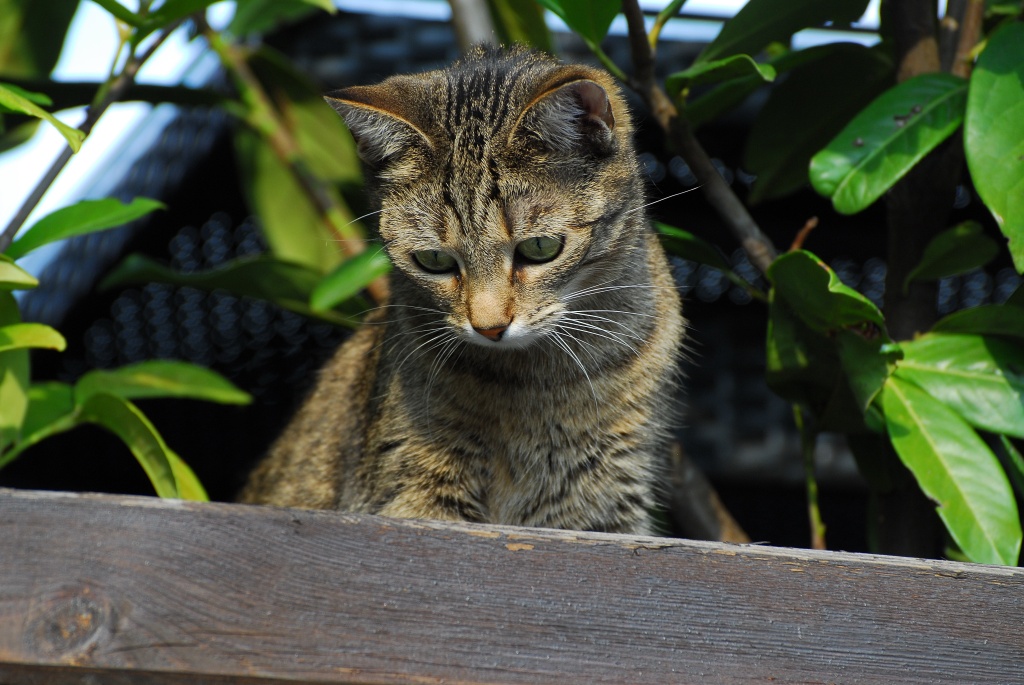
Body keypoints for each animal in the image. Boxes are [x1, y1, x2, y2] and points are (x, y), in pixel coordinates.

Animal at [239, 45, 684, 536]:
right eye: (434, 260)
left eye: (540, 248)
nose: (489, 327)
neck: (536, 385)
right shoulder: (414, 488)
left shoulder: (607, 497)